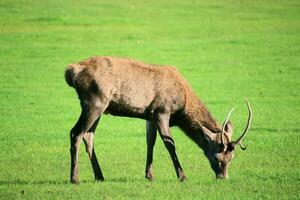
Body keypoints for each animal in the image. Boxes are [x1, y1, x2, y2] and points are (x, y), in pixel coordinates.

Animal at [64, 55, 252, 184]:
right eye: (216, 157)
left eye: (231, 158)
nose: (223, 177)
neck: (183, 106)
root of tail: (72, 70)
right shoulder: (162, 112)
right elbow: (170, 144)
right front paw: (182, 176)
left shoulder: (150, 115)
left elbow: (150, 142)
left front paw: (149, 175)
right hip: (95, 102)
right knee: (75, 133)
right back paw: (74, 178)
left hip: (100, 107)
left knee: (89, 136)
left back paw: (100, 176)